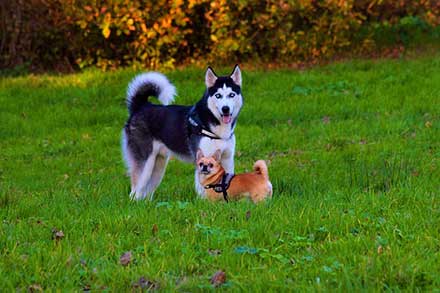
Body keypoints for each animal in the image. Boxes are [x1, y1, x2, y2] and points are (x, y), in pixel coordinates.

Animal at [122, 65, 242, 200]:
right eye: (218, 95)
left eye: (231, 95)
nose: (225, 109)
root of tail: (141, 106)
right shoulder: (202, 160)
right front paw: (204, 203)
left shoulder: (227, 159)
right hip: (145, 165)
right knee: (135, 191)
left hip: (158, 166)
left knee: (146, 192)